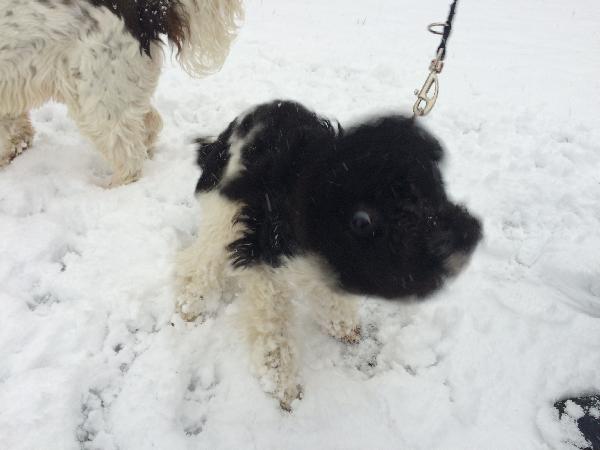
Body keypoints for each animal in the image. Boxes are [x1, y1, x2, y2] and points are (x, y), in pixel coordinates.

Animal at [0, 0, 243, 185]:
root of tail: (144, 11)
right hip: (118, 89)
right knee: (149, 125)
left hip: (95, 98)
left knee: (129, 156)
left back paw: (109, 186)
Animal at [175, 100, 482, 410]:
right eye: (401, 208)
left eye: (437, 189)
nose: (469, 234)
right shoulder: (264, 259)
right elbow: (274, 327)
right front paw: (283, 385)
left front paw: (343, 326)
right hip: (224, 210)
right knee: (200, 259)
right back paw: (191, 304)